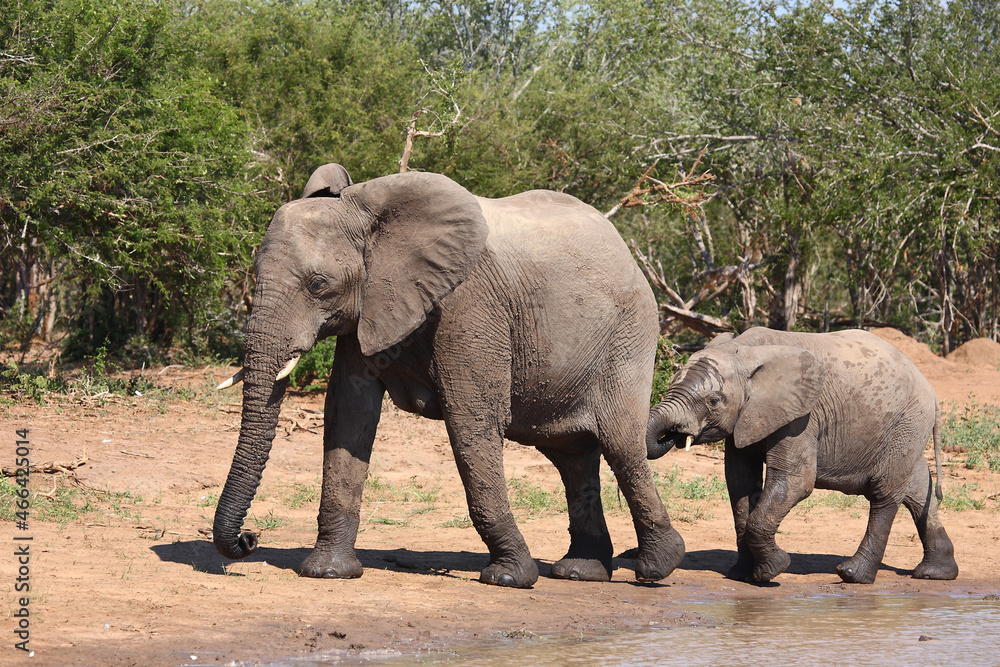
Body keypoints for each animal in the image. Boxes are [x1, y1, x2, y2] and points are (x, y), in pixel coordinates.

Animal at [212, 163, 685, 588]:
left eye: (318, 284)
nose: (249, 539)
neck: (369, 216)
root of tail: (625, 249)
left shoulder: (469, 305)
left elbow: (471, 422)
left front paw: (509, 578)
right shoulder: (370, 306)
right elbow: (349, 416)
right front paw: (327, 572)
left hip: (629, 334)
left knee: (620, 444)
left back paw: (657, 567)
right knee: (572, 456)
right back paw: (580, 572)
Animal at [646, 327, 958, 585]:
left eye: (713, 401)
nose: (674, 434)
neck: (745, 350)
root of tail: (931, 391)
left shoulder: (802, 417)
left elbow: (796, 480)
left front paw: (773, 570)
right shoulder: (748, 416)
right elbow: (740, 483)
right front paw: (741, 575)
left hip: (906, 422)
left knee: (886, 493)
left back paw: (853, 575)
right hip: (906, 428)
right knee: (917, 490)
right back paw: (935, 574)